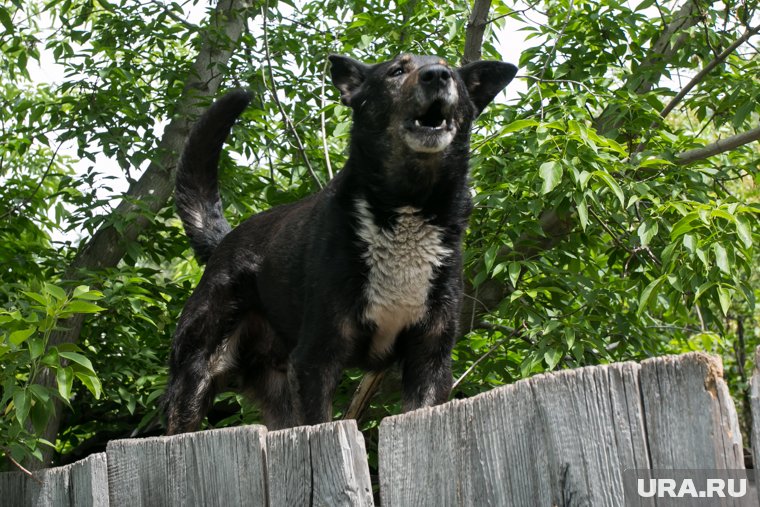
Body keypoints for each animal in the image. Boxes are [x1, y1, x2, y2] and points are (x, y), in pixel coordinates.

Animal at [166, 53, 516, 434]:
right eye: (397, 70)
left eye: (450, 71)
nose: (437, 76)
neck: (407, 206)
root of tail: (223, 242)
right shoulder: (316, 358)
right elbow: (320, 419)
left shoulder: (430, 357)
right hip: (196, 376)